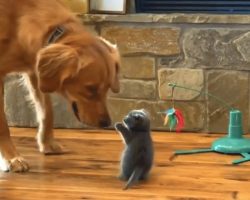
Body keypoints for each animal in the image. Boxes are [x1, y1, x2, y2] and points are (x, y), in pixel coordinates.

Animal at [0, 0, 120, 172]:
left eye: (108, 87)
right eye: (90, 89)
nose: (106, 123)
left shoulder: (36, 72)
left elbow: (47, 112)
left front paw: (47, 143)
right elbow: (3, 125)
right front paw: (11, 157)